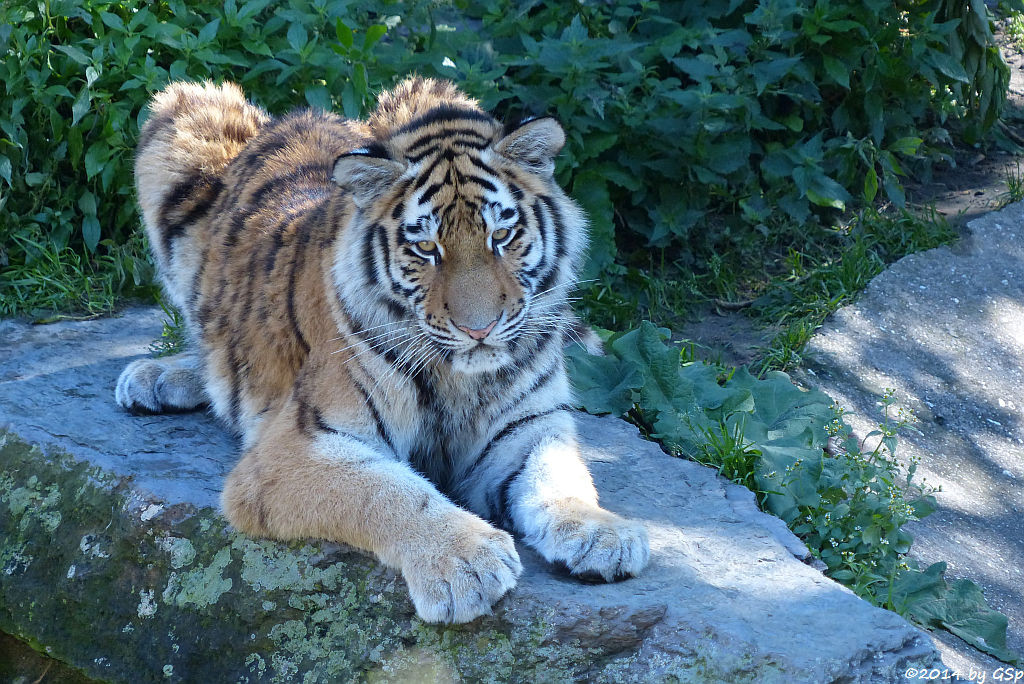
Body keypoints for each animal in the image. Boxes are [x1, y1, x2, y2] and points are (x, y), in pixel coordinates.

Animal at [117, 77, 647, 622]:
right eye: (426, 248)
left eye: (502, 236)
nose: (479, 329)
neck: (458, 376)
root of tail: (296, 115)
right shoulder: (293, 448)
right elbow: (390, 491)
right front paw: (466, 562)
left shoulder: (529, 428)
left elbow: (561, 477)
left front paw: (601, 532)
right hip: (181, 114)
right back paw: (160, 376)